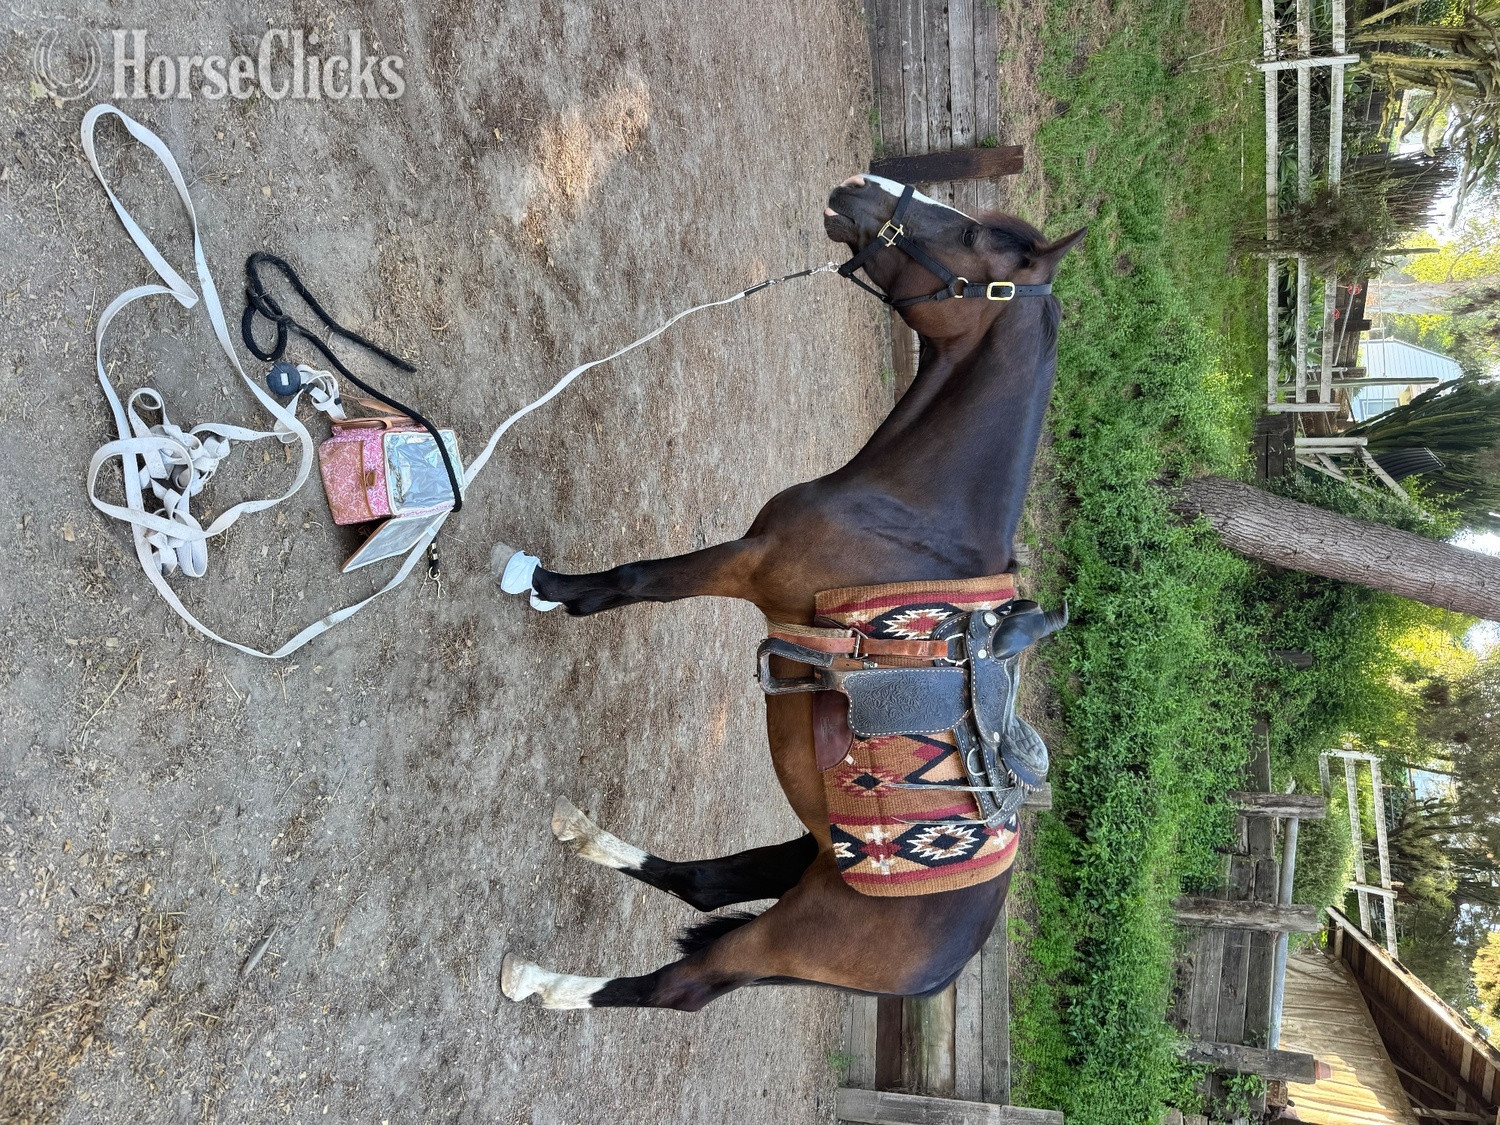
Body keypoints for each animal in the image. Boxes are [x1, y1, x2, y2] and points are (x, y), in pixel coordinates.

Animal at [495, 174, 1085, 1012]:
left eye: (972, 240)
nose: (860, 188)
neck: (914, 517)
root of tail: (942, 968)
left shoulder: (749, 567)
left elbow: (640, 580)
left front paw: (541, 584)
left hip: (790, 927)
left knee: (676, 985)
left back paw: (542, 981)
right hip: (812, 850)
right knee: (705, 884)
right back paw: (584, 835)